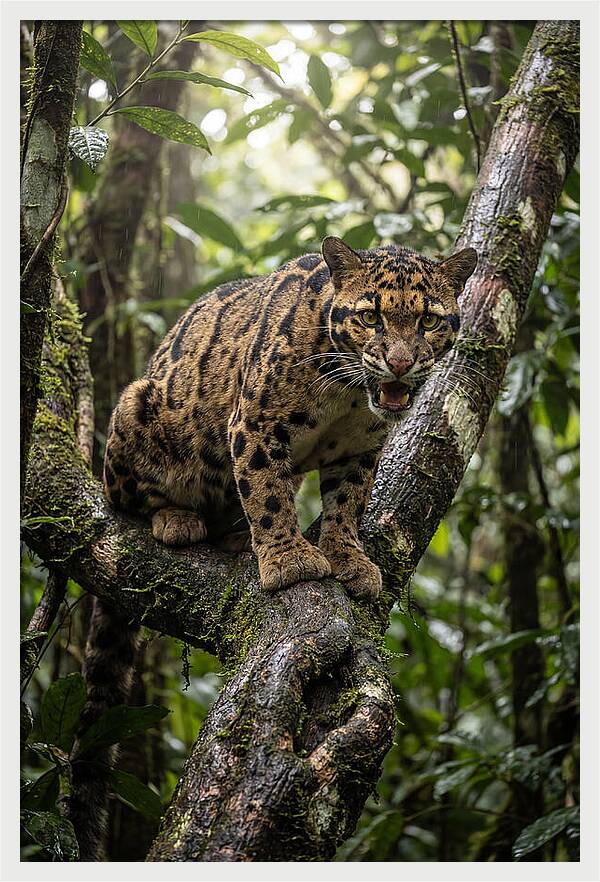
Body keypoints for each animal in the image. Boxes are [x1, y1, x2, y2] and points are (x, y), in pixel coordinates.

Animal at [103, 236, 477, 599]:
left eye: (428, 321)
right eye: (370, 318)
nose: (400, 364)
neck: (347, 393)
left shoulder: (359, 448)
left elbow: (348, 503)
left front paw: (348, 556)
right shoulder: (256, 424)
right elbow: (267, 494)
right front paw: (289, 559)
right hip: (136, 403)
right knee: (129, 500)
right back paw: (177, 518)